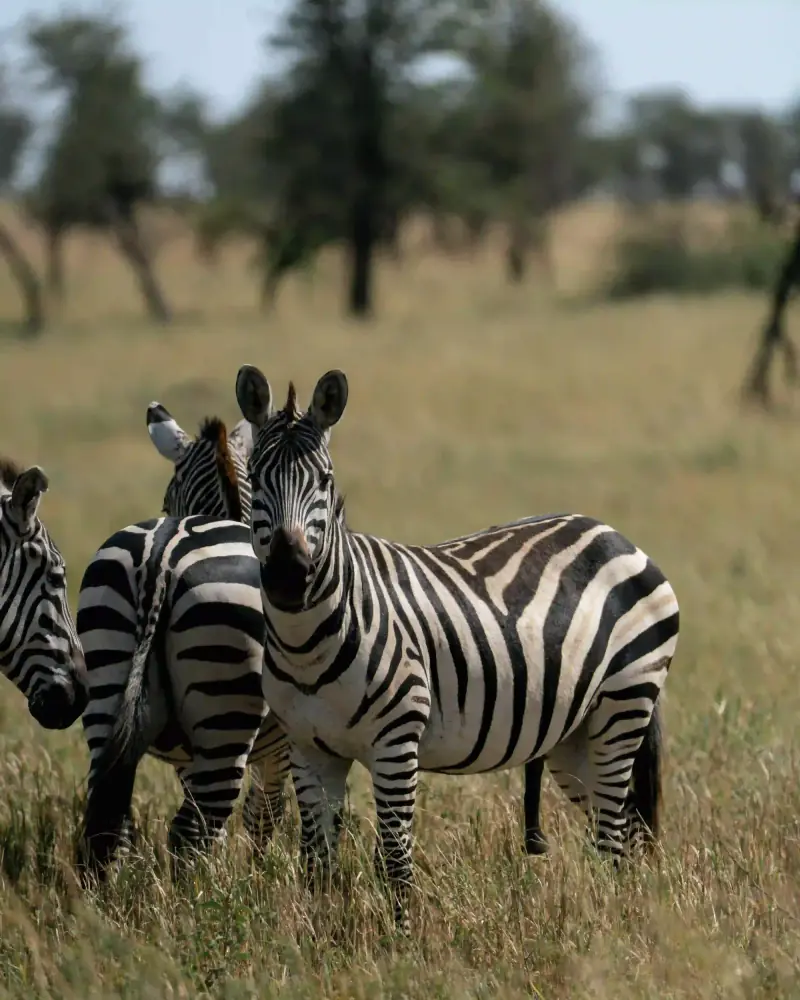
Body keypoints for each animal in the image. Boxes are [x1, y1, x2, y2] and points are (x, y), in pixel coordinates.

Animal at [77, 410, 288, 879]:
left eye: (165, 499)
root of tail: (162, 558)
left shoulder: (190, 757)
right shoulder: (285, 743)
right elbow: (265, 812)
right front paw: (264, 874)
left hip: (105, 679)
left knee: (109, 824)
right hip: (226, 707)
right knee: (194, 829)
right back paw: (205, 898)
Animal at [234, 364, 680, 932]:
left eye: (325, 481)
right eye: (254, 479)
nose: (290, 576)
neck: (307, 644)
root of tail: (616, 535)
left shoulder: (396, 740)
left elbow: (394, 857)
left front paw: (401, 938)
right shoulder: (310, 749)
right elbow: (317, 862)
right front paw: (320, 935)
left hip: (624, 703)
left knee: (615, 833)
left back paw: (612, 923)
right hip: (575, 735)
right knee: (621, 824)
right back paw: (617, 913)